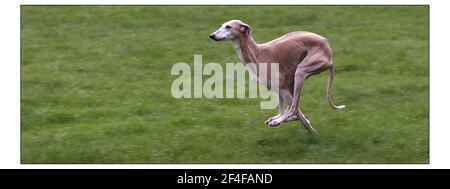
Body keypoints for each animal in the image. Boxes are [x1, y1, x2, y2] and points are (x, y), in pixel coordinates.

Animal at [208, 19, 344, 131]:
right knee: (291, 108)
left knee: (294, 107)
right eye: (222, 25)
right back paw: (277, 119)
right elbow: (290, 111)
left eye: (228, 26)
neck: (257, 54)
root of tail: (329, 51)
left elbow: (297, 112)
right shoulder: (279, 89)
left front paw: (309, 128)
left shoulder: (282, 88)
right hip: (293, 80)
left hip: (301, 72)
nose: (212, 35)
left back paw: (280, 120)